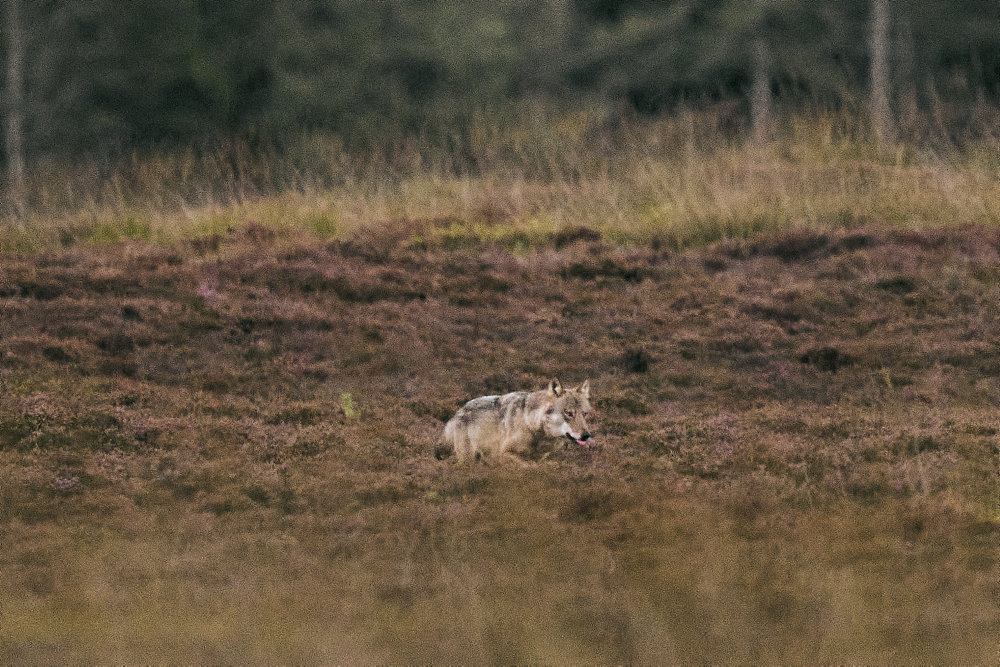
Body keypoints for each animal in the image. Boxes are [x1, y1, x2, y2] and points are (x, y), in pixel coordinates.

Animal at [434, 379, 593, 464]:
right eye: (569, 413)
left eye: (584, 414)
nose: (586, 435)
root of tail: (457, 413)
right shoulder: (504, 454)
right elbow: (529, 466)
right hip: (468, 459)